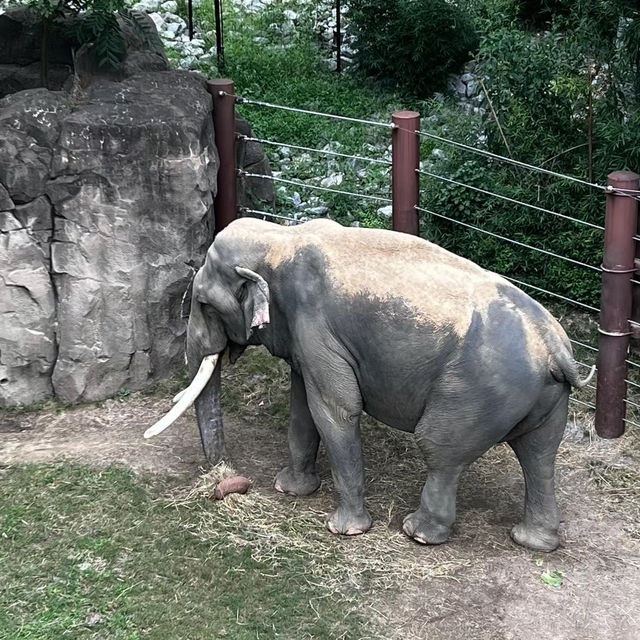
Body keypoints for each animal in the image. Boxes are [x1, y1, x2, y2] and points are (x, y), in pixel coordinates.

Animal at [145, 218, 596, 552]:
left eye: (204, 305)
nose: (225, 478)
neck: (280, 237)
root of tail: (556, 348)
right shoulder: (305, 337)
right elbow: (302, 405)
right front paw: (290, 490)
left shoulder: (316, 326)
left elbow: (335, 409)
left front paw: (345, 529)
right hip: (543, 398)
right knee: (539, 455)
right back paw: (533, 541)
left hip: (479, 391)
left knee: (440, 450)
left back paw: (418, 532)